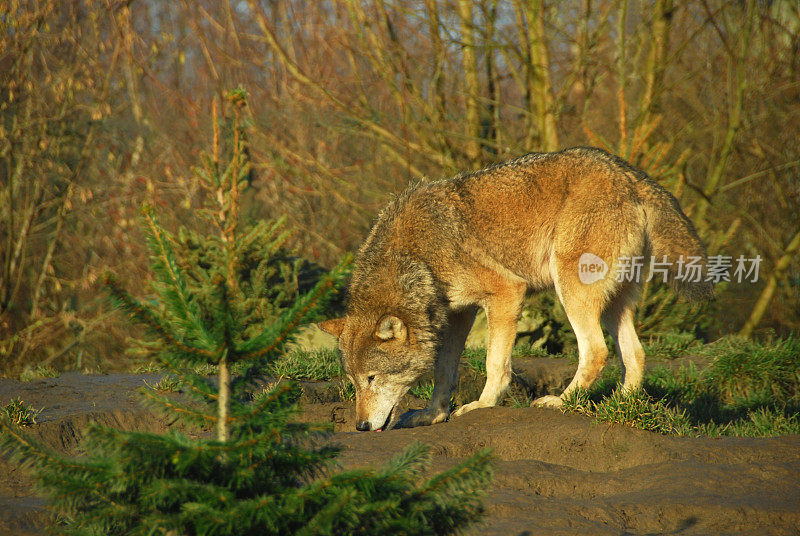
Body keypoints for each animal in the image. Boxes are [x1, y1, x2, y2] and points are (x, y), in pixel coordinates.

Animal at [318, 147, 712, 432]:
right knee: (636, 354)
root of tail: (632, 174)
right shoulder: (458, 314)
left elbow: (495, 363)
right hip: (614, 303)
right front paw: (432, 415)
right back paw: (619, 405)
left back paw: (561, 403)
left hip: (571, 288)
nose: (361, 426)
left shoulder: (506, 293)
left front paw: (482, 405)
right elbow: (444, 371)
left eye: (372, 378)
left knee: (596, 351)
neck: (416, 257)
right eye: (353, 382)